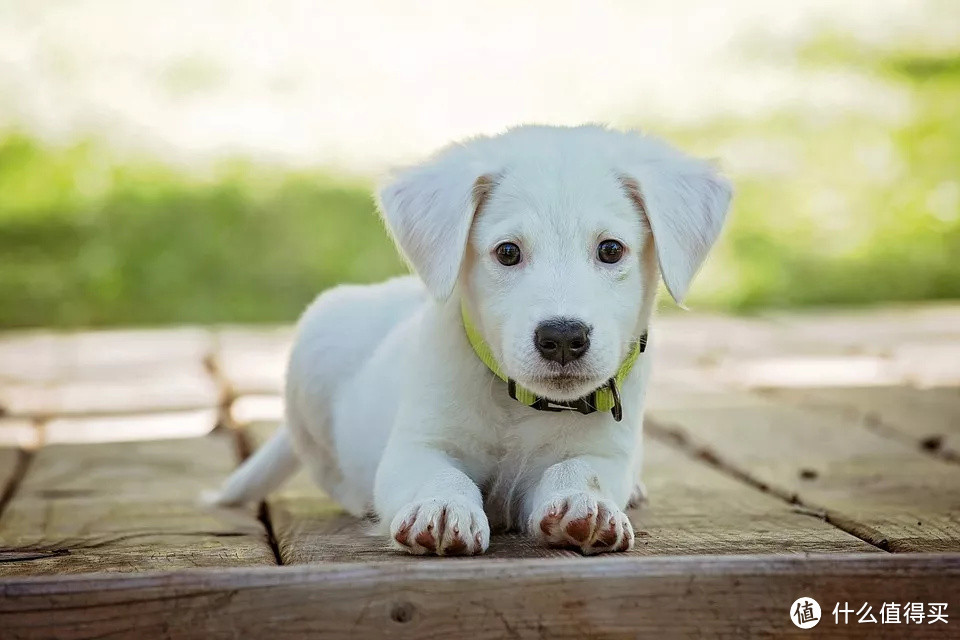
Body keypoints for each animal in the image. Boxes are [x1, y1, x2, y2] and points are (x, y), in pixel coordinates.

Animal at [214, 125, 732, 556]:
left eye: (610, 250)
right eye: (507, 252)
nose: (563, 338)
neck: (518, 403)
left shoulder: (606, 452)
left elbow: (580, 470)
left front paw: (585, 504)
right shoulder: (416, 446)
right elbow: (438, 474)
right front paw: (442, 508)